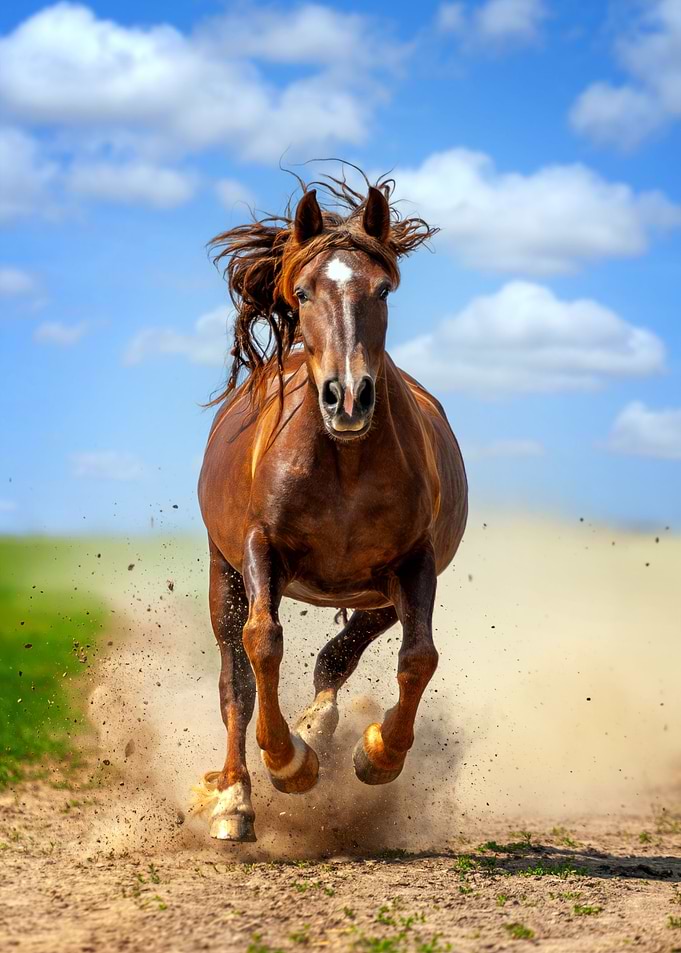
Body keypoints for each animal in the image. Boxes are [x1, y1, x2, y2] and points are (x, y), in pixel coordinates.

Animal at [192, 175, 468, 842]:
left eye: (383, 289)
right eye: (302, 291)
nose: (348, 398)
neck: (344, 463)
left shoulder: (415, 562)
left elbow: (420, 657)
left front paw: (377, 754)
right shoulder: (259, 549)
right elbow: (262, 643)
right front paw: (289, 765)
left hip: (376, 595)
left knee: (338, 658)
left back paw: (321, 724)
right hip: (222, 571)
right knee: (235, 682)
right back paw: (236, 797)